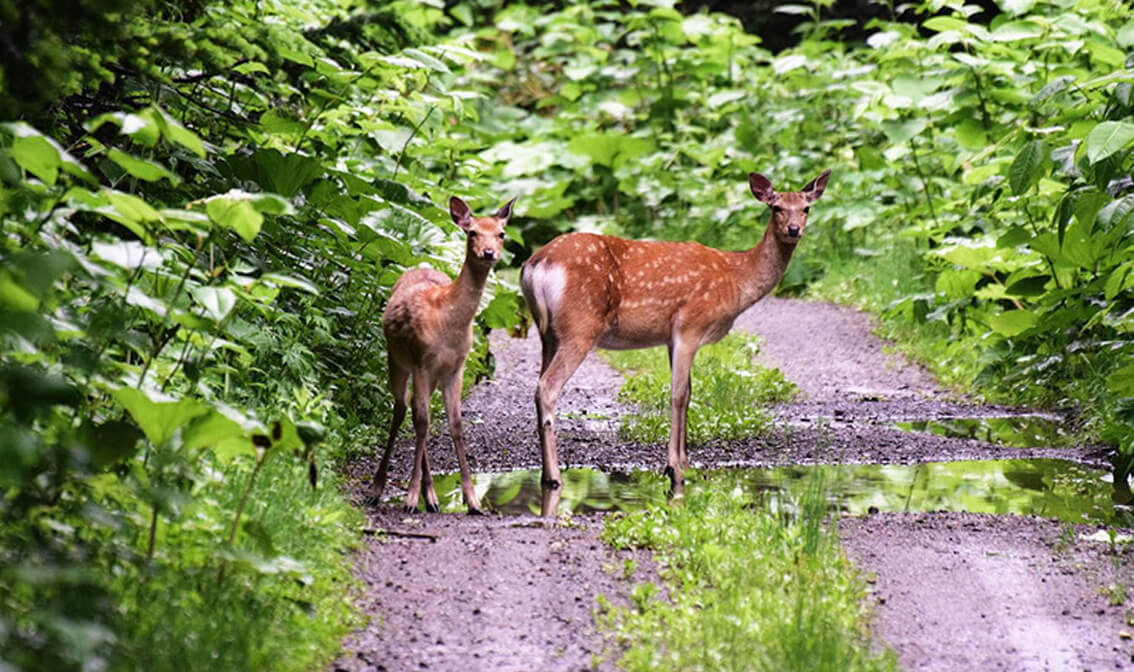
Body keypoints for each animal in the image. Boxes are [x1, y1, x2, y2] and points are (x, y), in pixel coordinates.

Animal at [369, 193, 517, 514]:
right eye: (472, 232)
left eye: (501, 233)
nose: (488, 252)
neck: (448, 322)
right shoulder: (422, 361)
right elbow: (423, 422)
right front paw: (410, 499)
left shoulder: (456, 368)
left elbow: (456, 425)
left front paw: (473, 500)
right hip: (396, 358)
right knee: (402, 409)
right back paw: (377, 489)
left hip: (429, 374)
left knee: (415, 410)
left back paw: (432, 497)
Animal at [519, 169, 830, 516]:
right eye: (776, 207)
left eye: (806, 208)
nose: (794, 229)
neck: (736, 279)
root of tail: (537, 266)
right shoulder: (690, 326)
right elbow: (679, 394)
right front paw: (675, 470)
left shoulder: (671, 338)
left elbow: (689, 392)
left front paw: (687, 463)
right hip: (580, 326)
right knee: (548, 387)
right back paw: (554, 476)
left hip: (547, 333)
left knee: (538, 384)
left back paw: (545, 474)